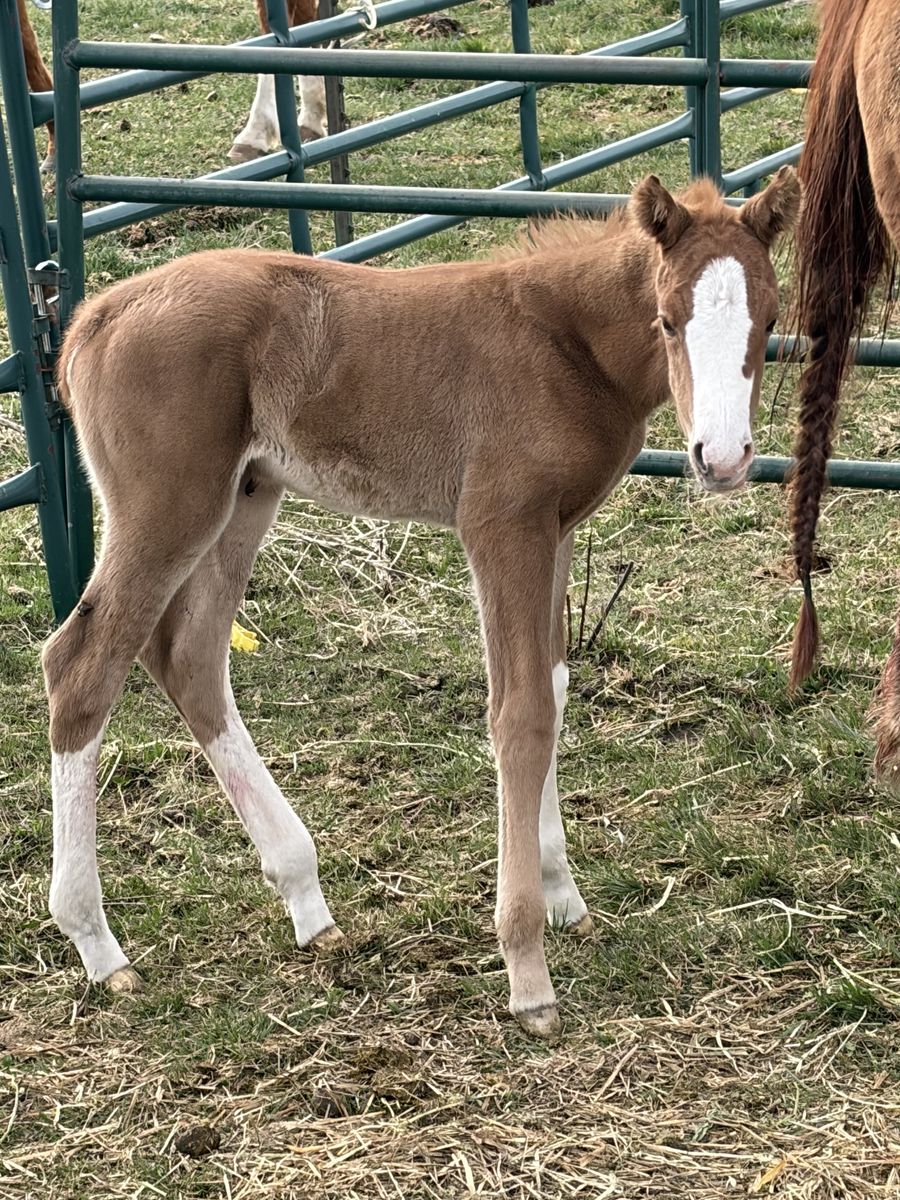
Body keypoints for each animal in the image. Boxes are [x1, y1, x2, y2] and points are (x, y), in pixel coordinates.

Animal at [43, 169, 799, 1038]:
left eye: (771, 319)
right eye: (667, 319)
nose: (722, 459)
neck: (563, 343)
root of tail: (93, 317)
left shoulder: (558, 528)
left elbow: (554, 689)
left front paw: (562, 892)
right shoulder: (502, 525)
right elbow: (520, 714)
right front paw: (527, 970)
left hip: (246, 495)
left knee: (190, 655)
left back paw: (306, 899)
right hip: (169, 506)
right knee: (82, 667)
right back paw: (99, 946)